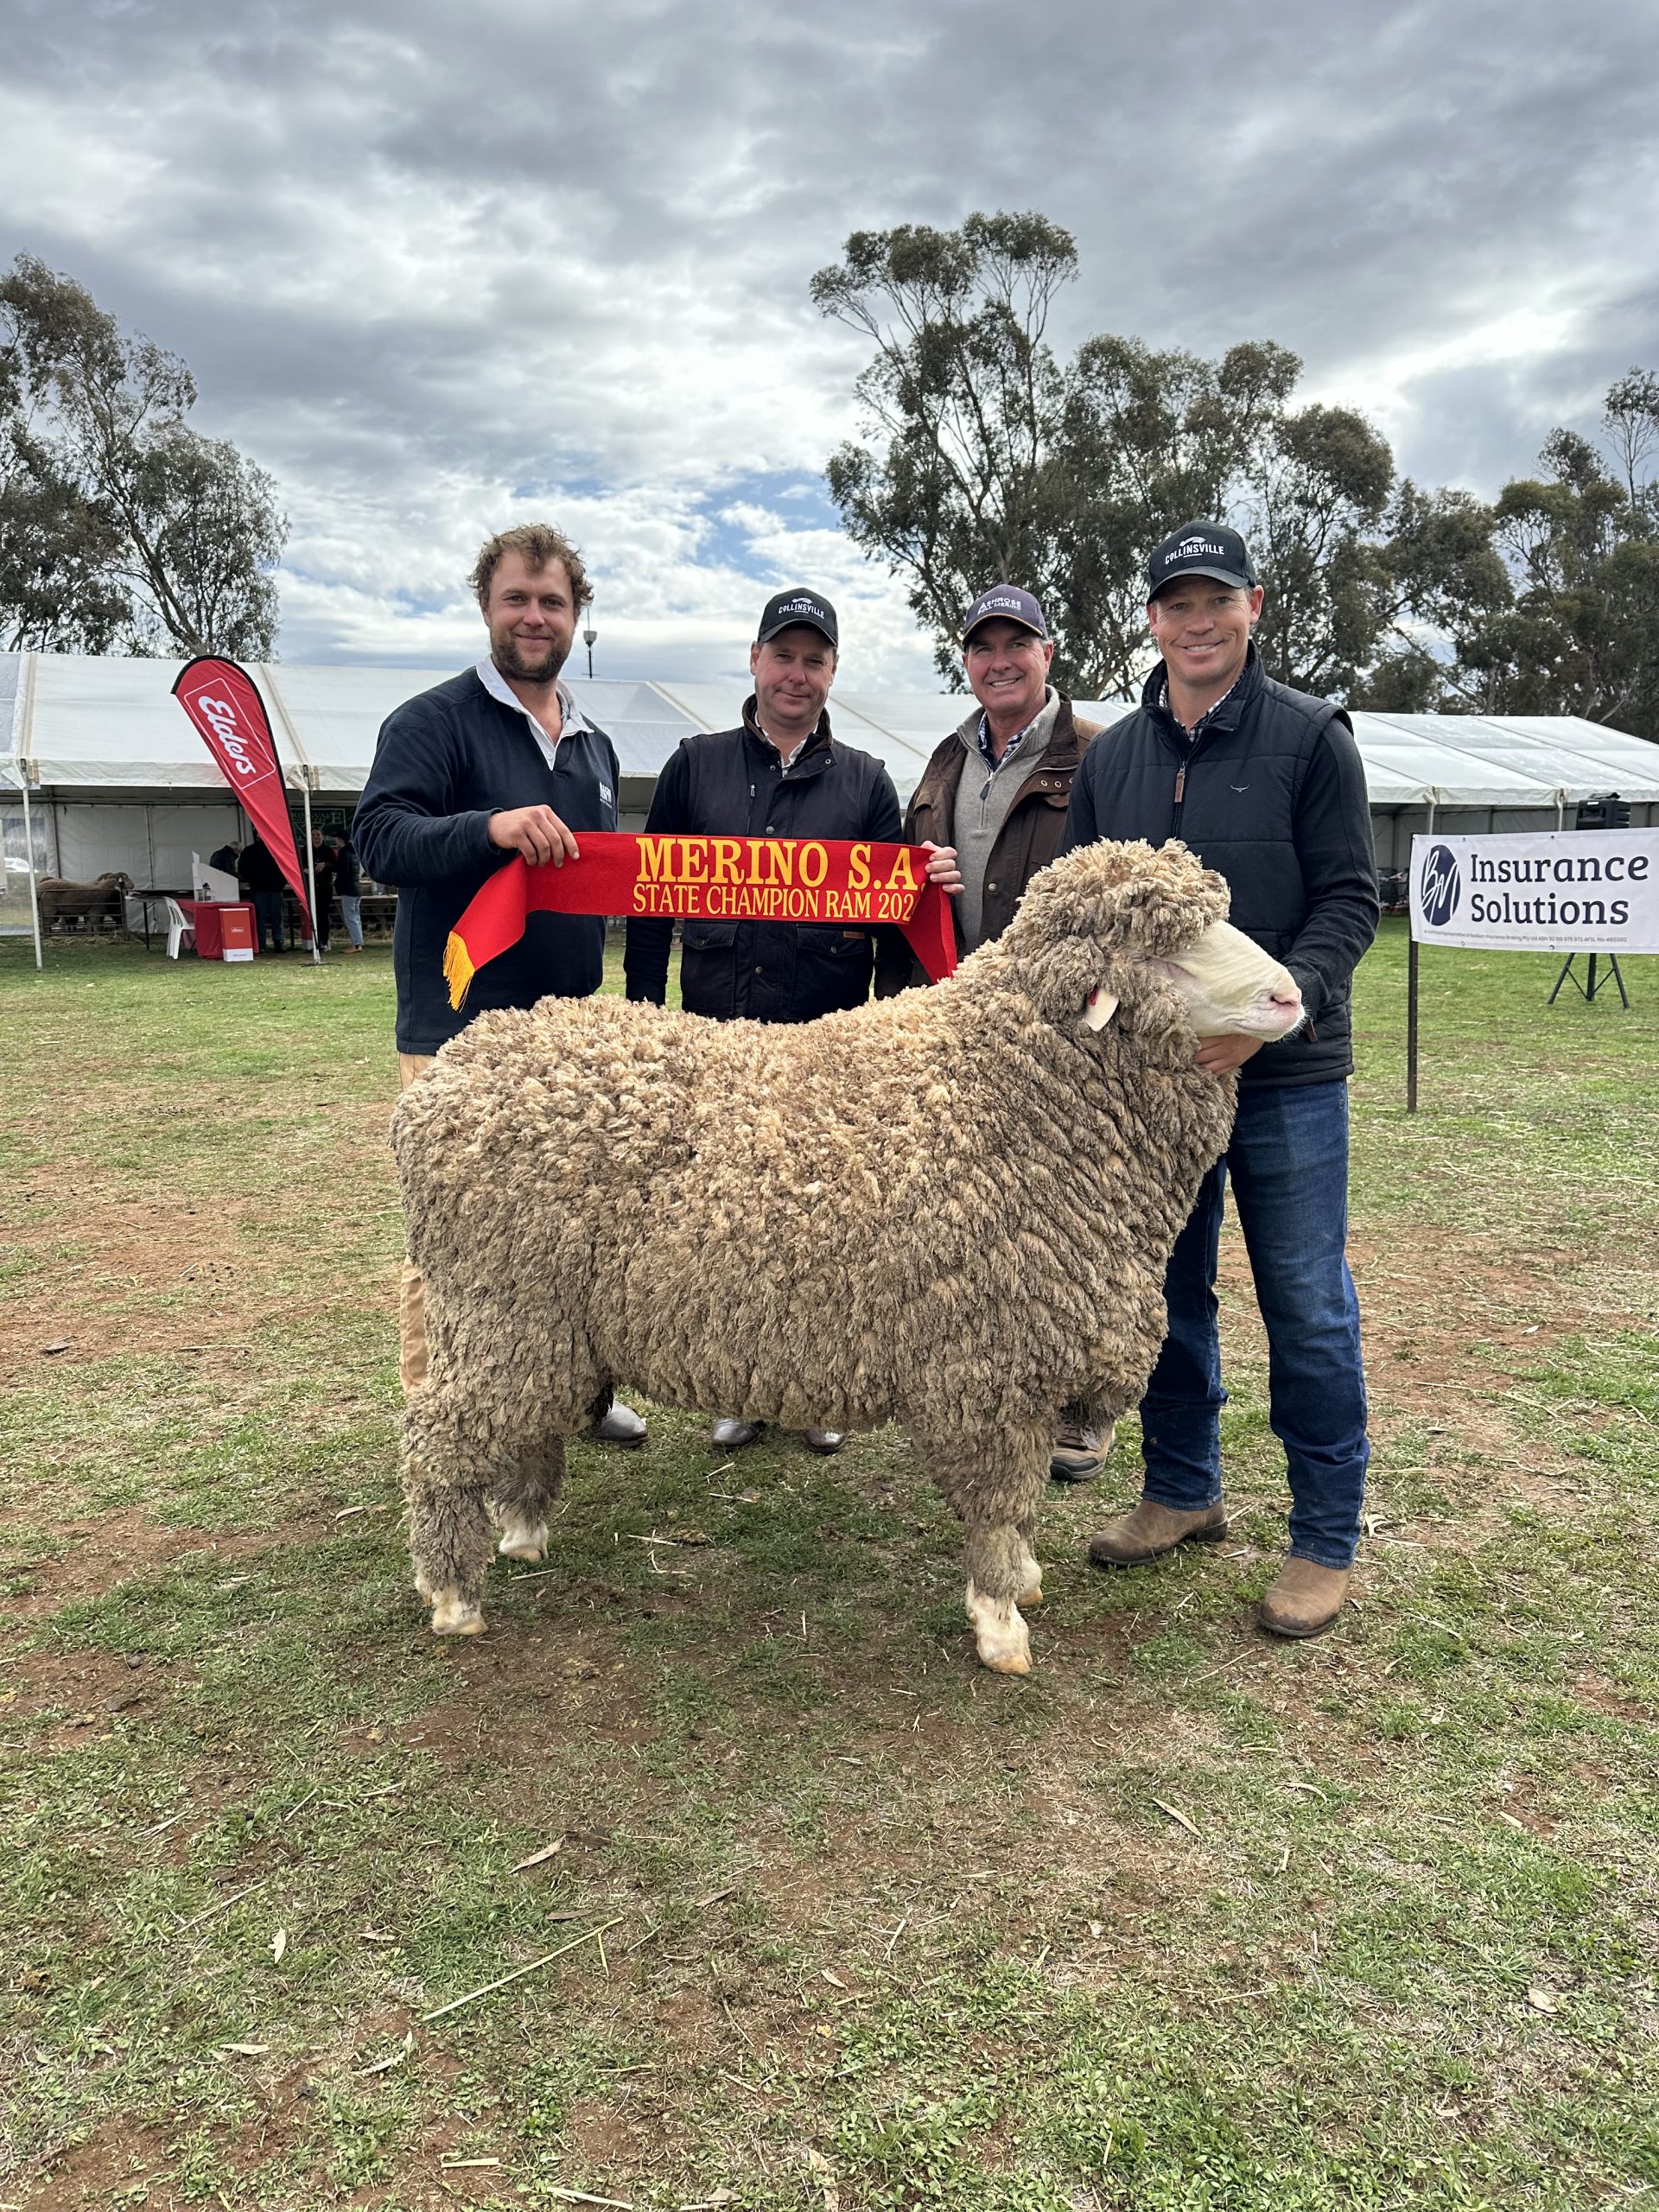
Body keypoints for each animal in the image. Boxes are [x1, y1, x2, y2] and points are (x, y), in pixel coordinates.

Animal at [396, 844, 1309, 1672]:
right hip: (500, 1307)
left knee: (520, 1430)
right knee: (440, 1440)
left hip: (538, 1327)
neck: (1012, 1091)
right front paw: (1002, 1623)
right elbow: (1000, 1503)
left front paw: (1024, 1578)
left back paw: (522, 1532)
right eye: (1159, 949)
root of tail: (455, 1067)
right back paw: (452, 1596)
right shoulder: (991, 1366)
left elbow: (1018, 1511)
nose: (1291, 995)